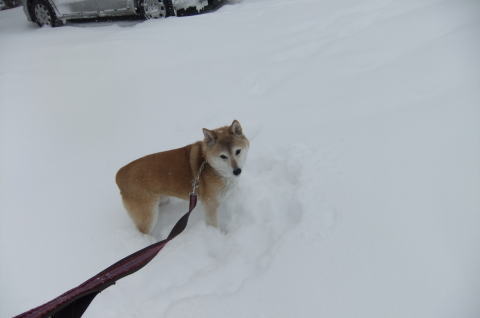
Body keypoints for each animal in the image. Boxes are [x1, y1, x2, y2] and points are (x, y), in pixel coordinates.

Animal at [116, 119, 249, 234]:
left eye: (238, 151)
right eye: (223, 156)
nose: (237, 171)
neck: (209, 164)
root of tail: (119, 175)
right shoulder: (211, 204)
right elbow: (213, 224)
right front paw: (217, 235)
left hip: (161, 199)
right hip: (148, 214)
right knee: (142, 232)